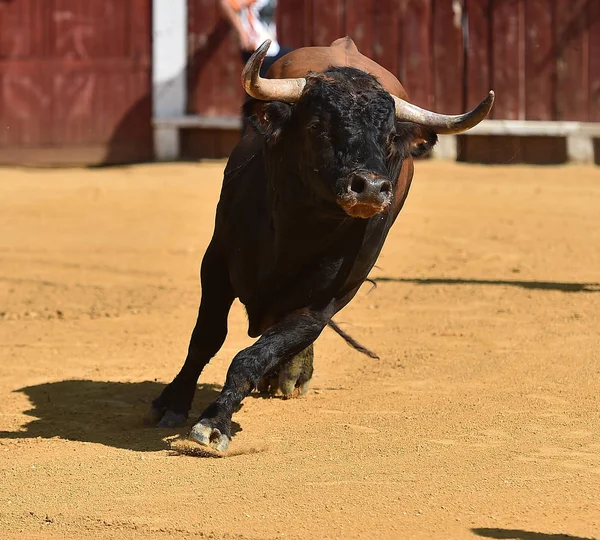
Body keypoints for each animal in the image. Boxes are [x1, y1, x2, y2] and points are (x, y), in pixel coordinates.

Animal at [145, 40, 492, 452]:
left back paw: (292, 375)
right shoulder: (215, 264)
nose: (371, 188)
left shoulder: (322, 304)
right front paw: (172, 403)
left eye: (391, 138)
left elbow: (254, 355)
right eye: (317, 126)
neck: (298, 229)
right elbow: (205, 338)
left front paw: (214, 422)